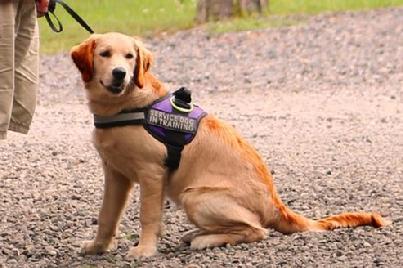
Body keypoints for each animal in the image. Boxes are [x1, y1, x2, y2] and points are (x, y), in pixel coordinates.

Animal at [72, 32, 392, 258]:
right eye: (104, 54)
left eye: (129, 57)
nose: (120, 73)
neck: (126, 105)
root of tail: (276, 205)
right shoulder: (115, 174)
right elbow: (106, 215)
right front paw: (99, 247)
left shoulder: (152, 174)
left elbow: (147, 216)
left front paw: (145, 250)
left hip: (195, 195)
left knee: (256, 230)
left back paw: (204, 239)